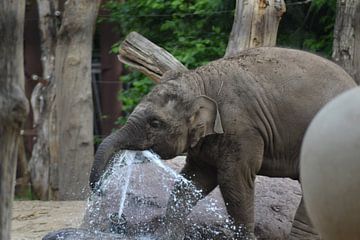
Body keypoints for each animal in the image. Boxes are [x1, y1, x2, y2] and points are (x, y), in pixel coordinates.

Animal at [89, 47, 354, 240]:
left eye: (155, 123)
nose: (99, 190)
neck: (200, 80)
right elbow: (192, 181)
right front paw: (166, 235)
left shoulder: (242, 130)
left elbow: (233, 181)